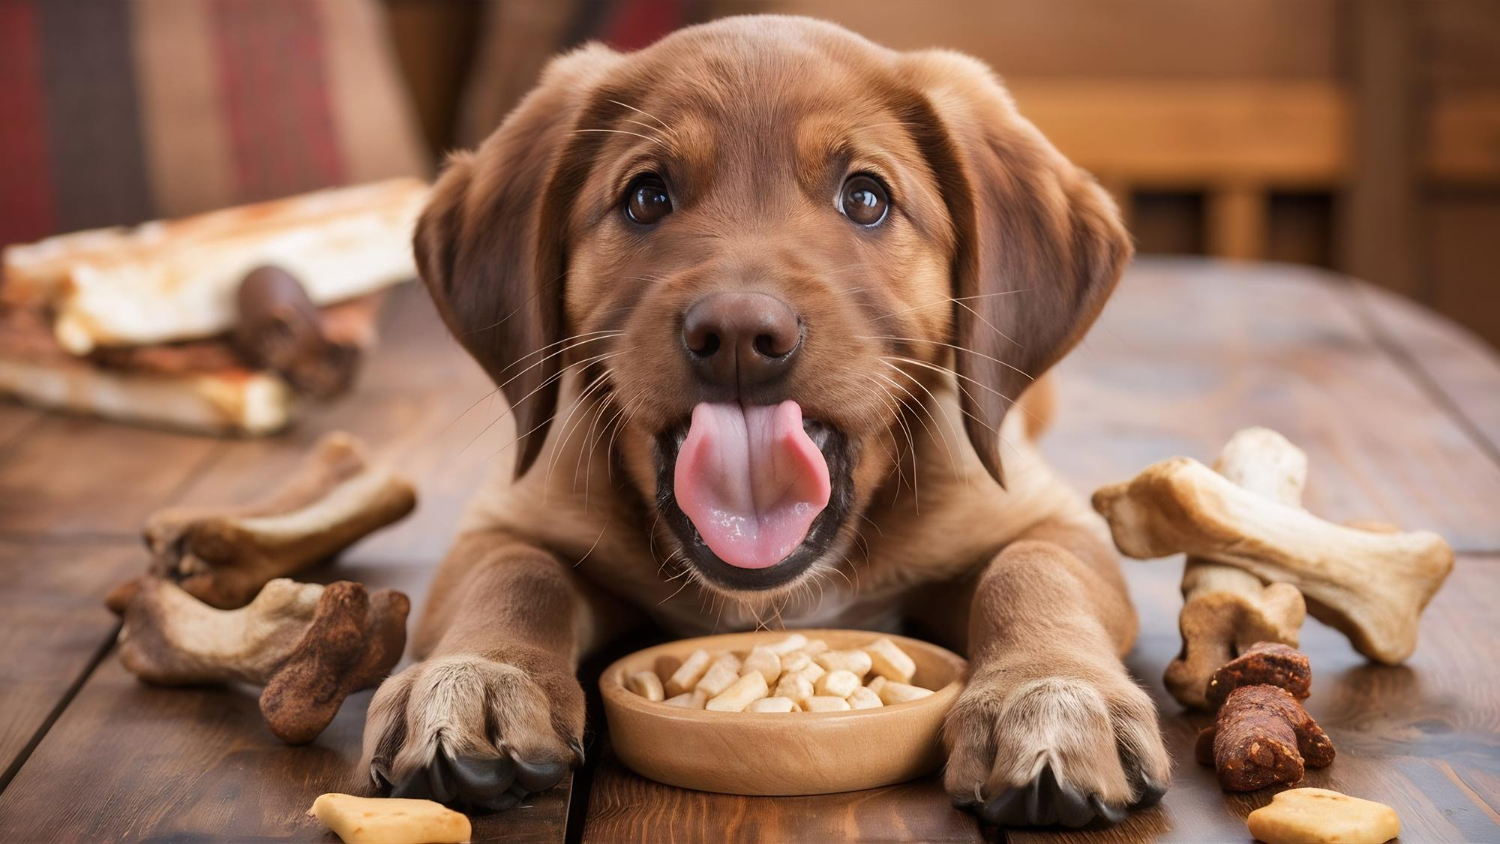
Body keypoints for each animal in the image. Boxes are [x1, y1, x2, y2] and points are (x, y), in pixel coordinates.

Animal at [363, 16, 1170, 827]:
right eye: (647, 196)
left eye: (866, 198)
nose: (739, 335)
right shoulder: (508, 514)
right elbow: (516, 574)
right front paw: (476, 677)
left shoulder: (1044, 513)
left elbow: (1032, 571)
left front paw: (1050, 696)